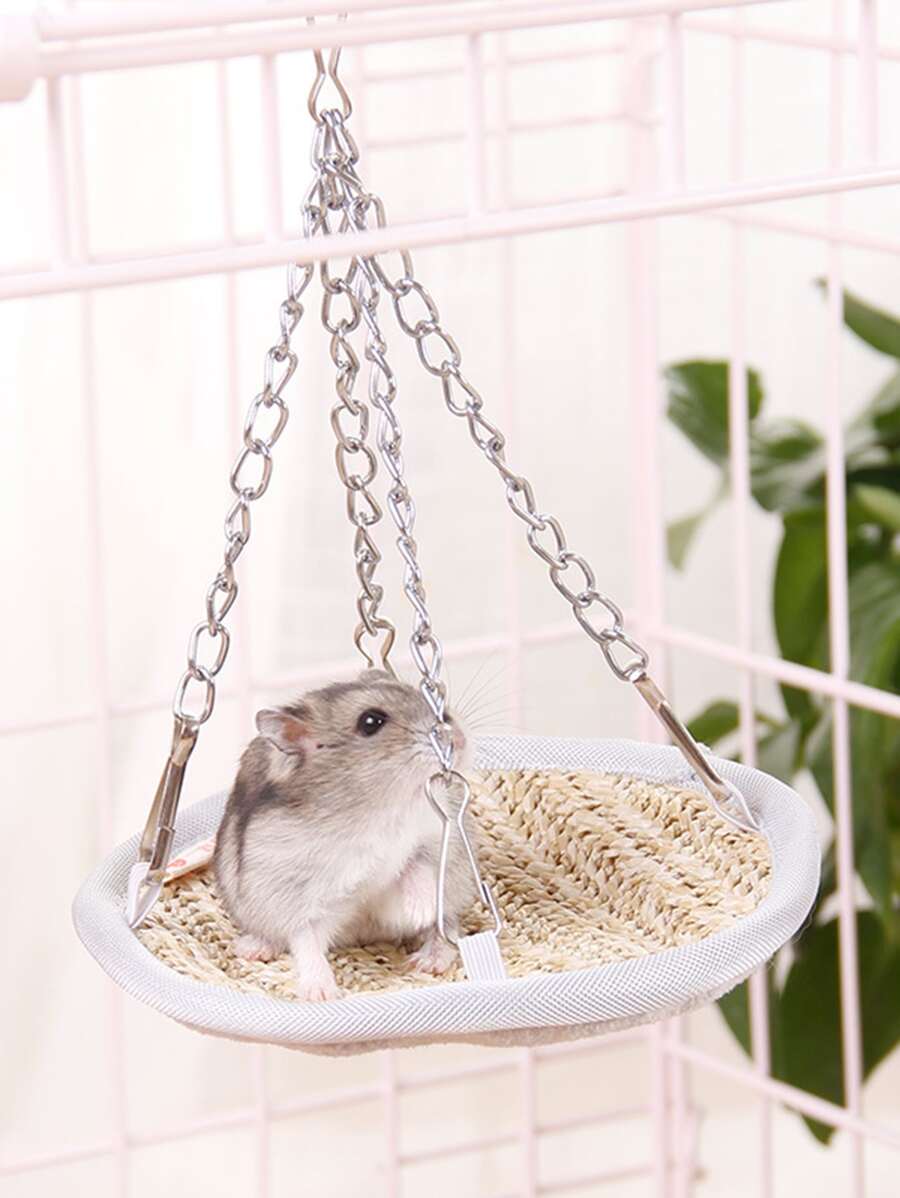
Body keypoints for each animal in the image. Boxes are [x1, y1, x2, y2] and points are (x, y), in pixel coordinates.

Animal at [213, 670, 476, 1001]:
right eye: (370, 722)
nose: (459, 736)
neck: (376, 808)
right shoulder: (296, 893)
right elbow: (305, 939)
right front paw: (320, 995)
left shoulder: (436, 836)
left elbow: (416, 865)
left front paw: (422, 911)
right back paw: (252, 948)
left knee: (449, 924)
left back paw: (429, 960)